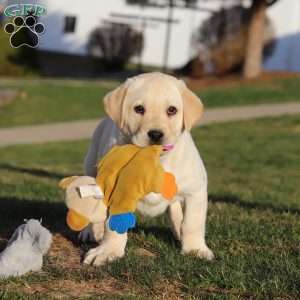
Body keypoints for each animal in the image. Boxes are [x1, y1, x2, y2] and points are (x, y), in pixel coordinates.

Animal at [81, 72, 214, 264]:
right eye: (139, 109)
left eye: (172, 110)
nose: (156, 134)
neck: (154, 160)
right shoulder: (116, 193)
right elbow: (112, 226)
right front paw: (108, 251)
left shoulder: (195, 190)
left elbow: (192, 223)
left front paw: (195, 249)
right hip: (92, 171)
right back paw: (91, 231)